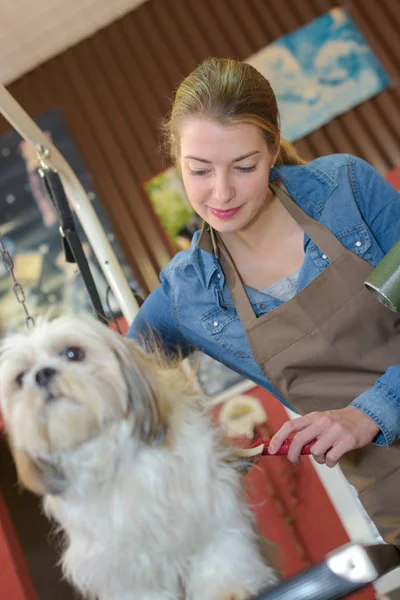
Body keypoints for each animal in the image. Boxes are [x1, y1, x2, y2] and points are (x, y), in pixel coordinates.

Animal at [0, 316, 278, 596]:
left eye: (73, 353)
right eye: (20, 378)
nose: (42, 374)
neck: (112, 455)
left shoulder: (209, 504)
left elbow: (220, 548)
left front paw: (230, 588)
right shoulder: (120, 558)